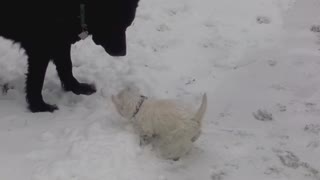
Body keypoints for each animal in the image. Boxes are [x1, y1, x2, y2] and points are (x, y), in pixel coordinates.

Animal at [0, 0, 140, 112]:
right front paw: (39, 106)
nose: (123, 52)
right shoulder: (40, 47)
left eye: (127, 25)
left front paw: (76, 88)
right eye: (114, 23)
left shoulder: (60, 40)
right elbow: (36, 80)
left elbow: (66, 66)